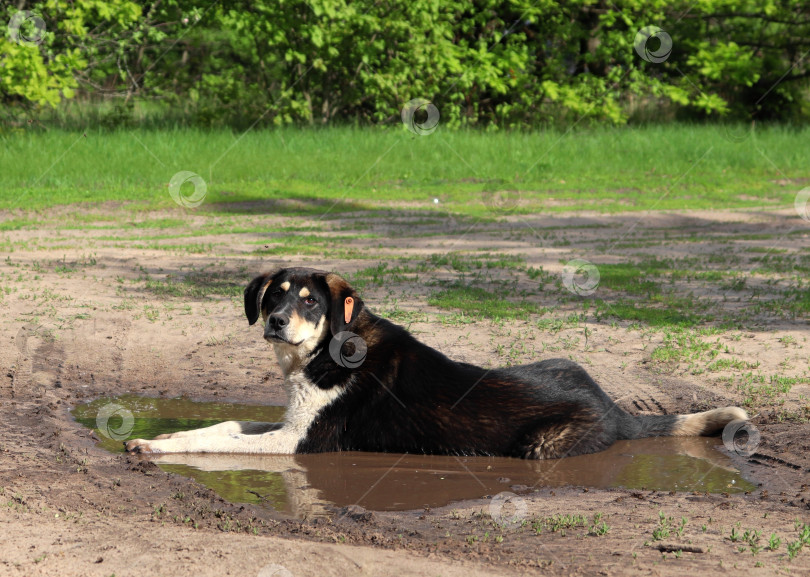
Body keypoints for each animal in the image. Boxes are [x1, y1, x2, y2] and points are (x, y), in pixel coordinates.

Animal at [123, 266, 748, 460]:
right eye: (274, 296)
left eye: (309, 302)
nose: (276, 322)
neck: (328, 350)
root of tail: (614, 408)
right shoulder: (288, 423)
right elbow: (224, 424)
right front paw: (163, 436)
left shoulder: (300, 440)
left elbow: (222, 441)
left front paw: (158, 446)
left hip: (541, 445)